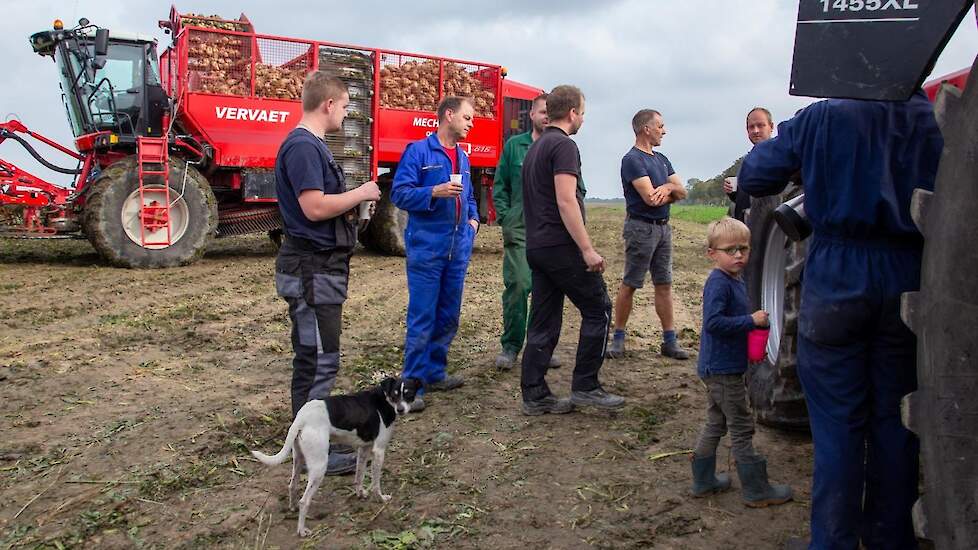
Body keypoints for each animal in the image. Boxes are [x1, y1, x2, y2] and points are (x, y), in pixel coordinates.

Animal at [252, 378, 420, 536]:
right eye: (395, 395)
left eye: (409, 394)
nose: (400, 409)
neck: (384, 399)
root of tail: (301, 418)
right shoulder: (379, 451)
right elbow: (375, 483)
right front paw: (381, 498)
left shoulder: (364, 449)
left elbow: (359, 475)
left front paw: (360, 494)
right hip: (319, 467)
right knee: (304, 501)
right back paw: (301, 530)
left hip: (298, 459)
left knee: (292, 485)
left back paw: (292, 508)